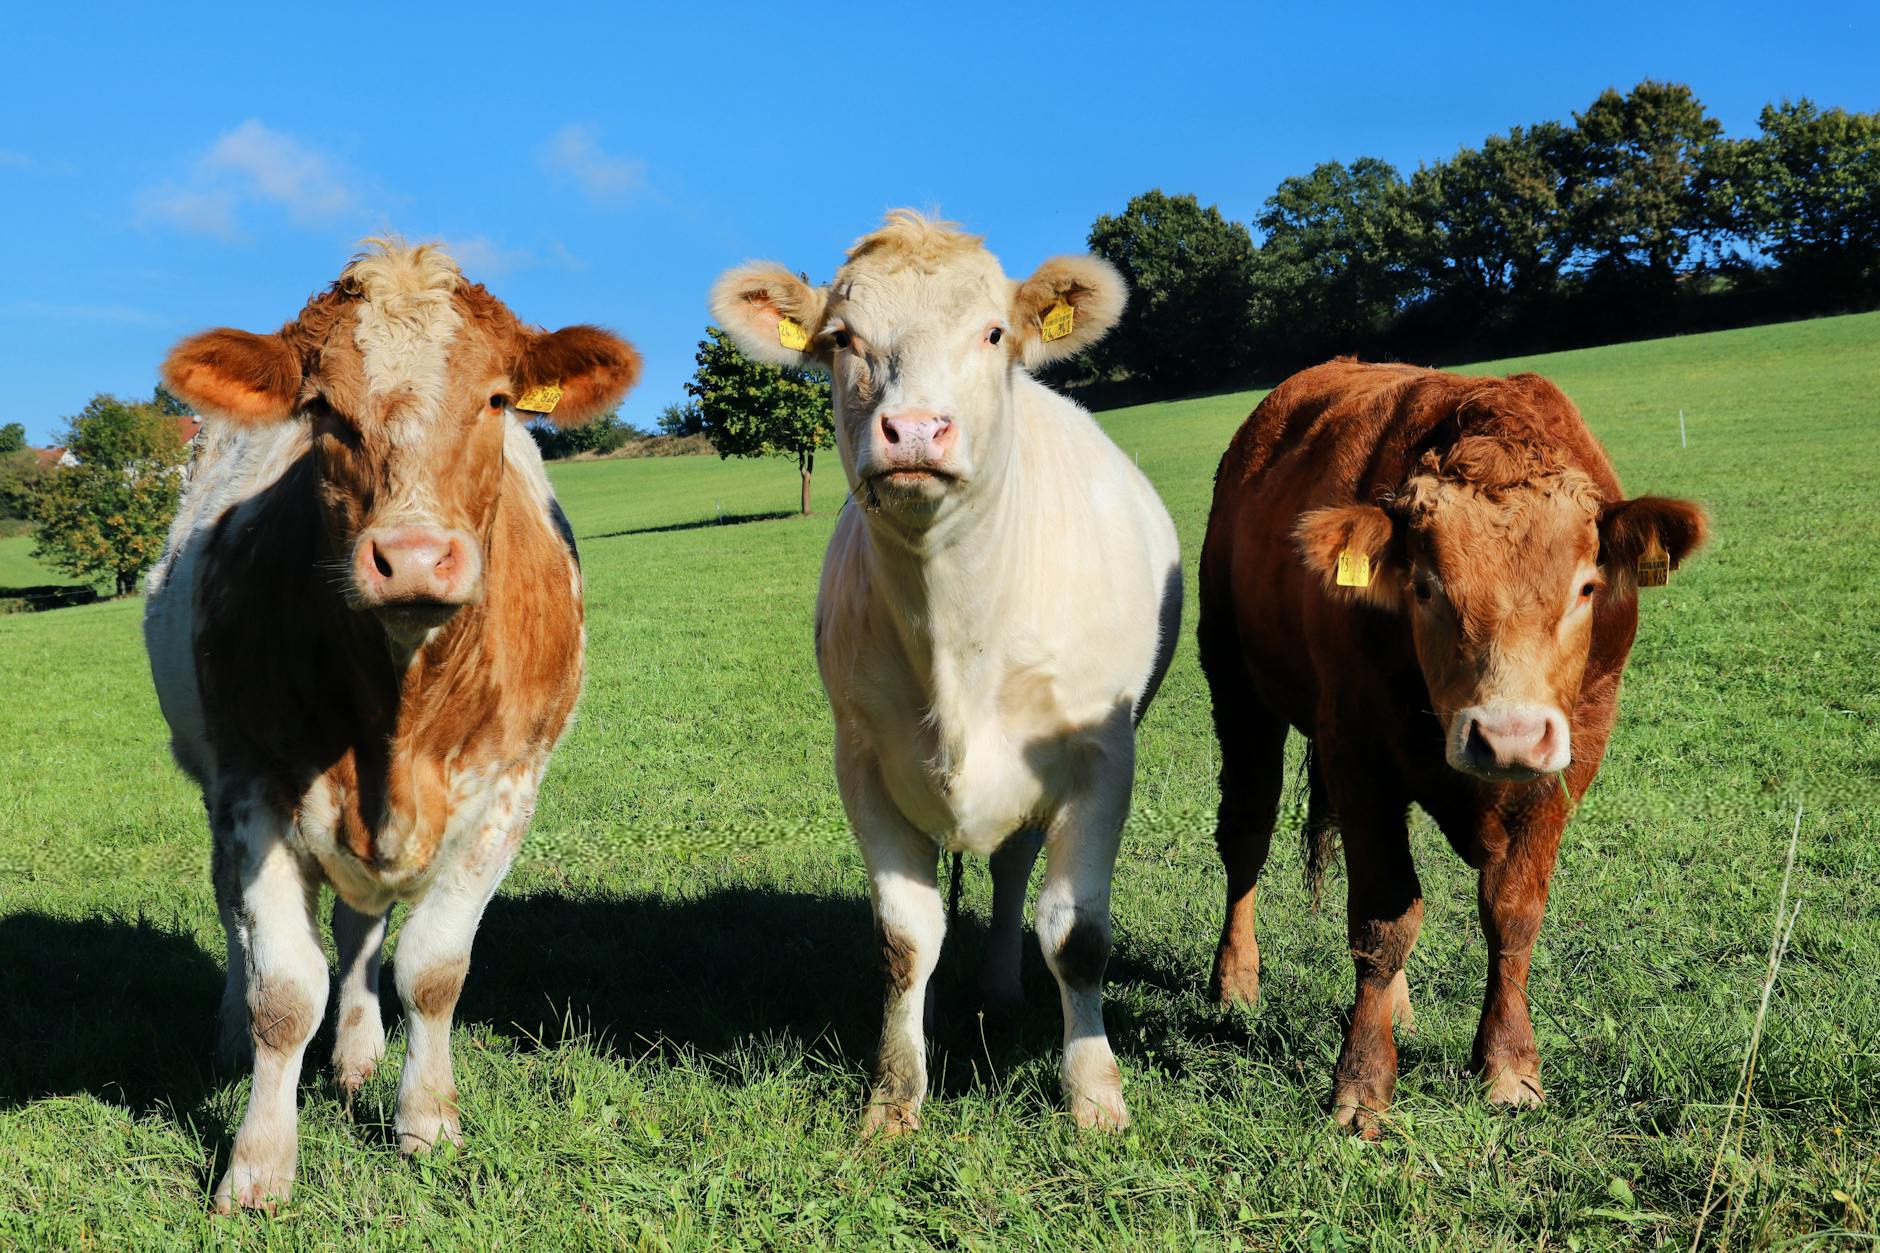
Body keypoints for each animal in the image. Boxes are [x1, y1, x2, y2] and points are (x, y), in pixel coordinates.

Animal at [144, 240, 639, 1210]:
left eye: (497, 399)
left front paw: (426, 1119)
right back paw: (232, 1036)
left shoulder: (509, 790)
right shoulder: (251, 788)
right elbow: (282, 990)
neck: (399, 721)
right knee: (236, 920)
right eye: (322, 409)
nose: (411, 557)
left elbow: (433, 968)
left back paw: (361, 1049)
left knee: (360, 930)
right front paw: (258, 1163)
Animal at [709, 212, 1181, 1133]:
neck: (958, 626)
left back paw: (1001, 984)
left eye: (994, 332)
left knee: (1012, 870)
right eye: (841, 339)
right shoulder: (862, 758)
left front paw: (1094, 1096)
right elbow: (905, 936)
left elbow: (1076, 934)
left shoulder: (1102, 754)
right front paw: (894, 1098)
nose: (917, 430)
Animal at [1197, 359, 1707, 1133]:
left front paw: (1509, 1067)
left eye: (1586, 588)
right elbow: (1383, 917)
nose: (1508, 735)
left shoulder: (1573, 755)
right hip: (1237, 686)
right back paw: (1235, 980)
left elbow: (1512, 913)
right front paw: (1363, 1085)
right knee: (1247, 834)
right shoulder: (1357, 750)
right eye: (1425, 587)